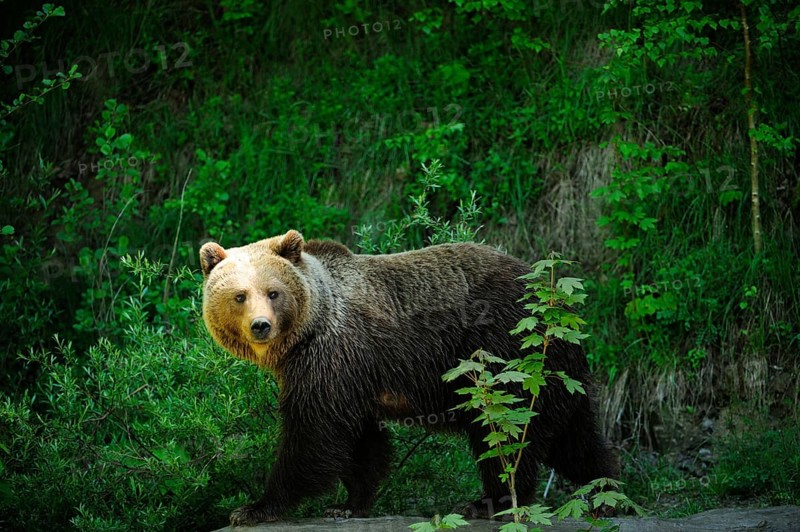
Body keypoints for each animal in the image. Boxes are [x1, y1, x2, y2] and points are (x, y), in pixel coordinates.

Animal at [199, 230, 618, 526]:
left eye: (273, 292)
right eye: (239, 295)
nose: (261, 326)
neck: (302, 337)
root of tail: (557, 306)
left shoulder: (332, 357)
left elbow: (314, 435)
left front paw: (255, 507)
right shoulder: (354, 376)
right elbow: (362, 443)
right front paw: (349, 504)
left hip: (504, 353)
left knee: (502, 431)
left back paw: (487, 502)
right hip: (558, 375)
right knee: (575, 439)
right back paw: (608, 491)